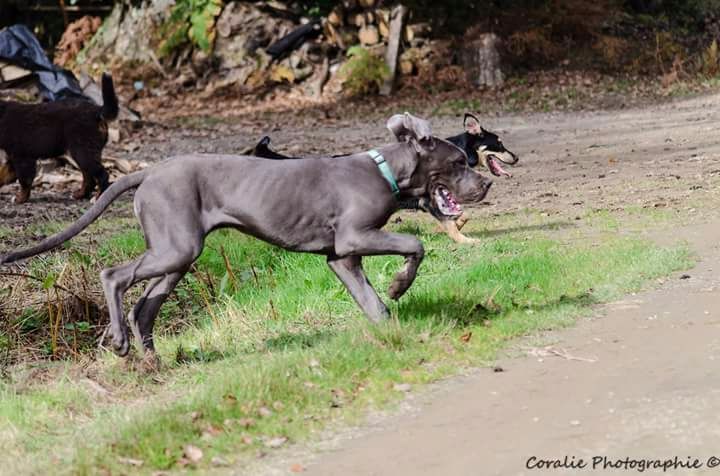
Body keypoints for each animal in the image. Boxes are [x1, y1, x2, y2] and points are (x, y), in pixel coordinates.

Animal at [0, 72, 119, 203]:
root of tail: (96, 111)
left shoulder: (23, 158)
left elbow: (24, 181)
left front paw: (21, 198)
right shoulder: (13, 158)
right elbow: (3, 175)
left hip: (83, 151)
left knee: (101, 175)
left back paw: (99, 197)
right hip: (84, 152)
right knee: (89, 177)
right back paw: (80, 195)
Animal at [253, 113, 516, 244]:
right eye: (500, 144)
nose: (516, 157)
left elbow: (459, 215)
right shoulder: (431, 200)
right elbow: (451, 222)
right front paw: (465, 240)